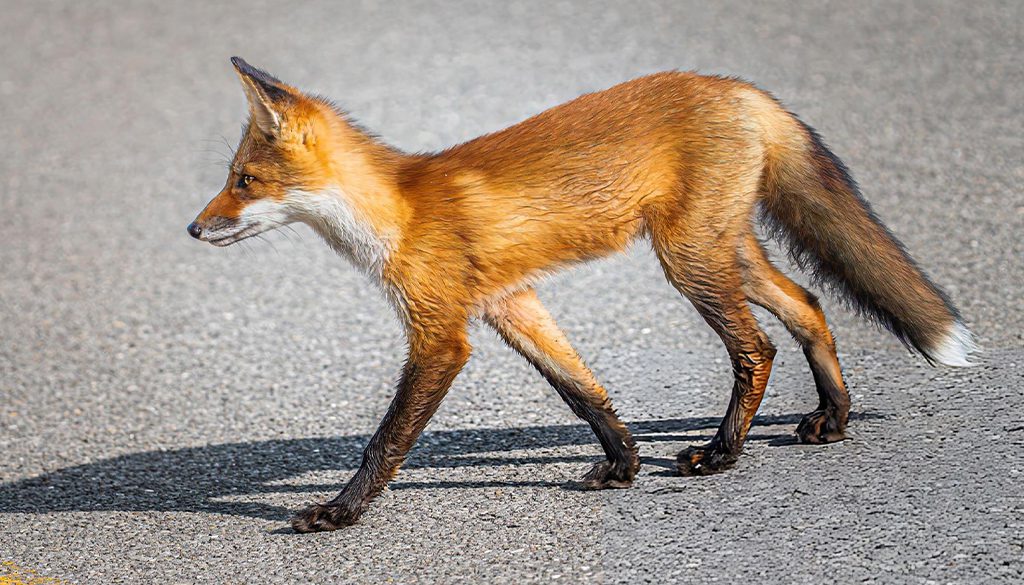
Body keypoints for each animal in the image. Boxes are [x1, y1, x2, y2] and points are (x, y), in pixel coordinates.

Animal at [188, 57, 977, 533]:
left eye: (245, 182)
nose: (193, 228)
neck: (400, 210)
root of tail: (734, 86)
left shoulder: (442, 334)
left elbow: (387, 440)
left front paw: (340, 512)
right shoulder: (512, 303)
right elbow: (582, 389)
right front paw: (624, 463)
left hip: (689, 259)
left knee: (757, 346)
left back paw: (722, 452)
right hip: (725, 252)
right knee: (810, 305)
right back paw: (832, 417)